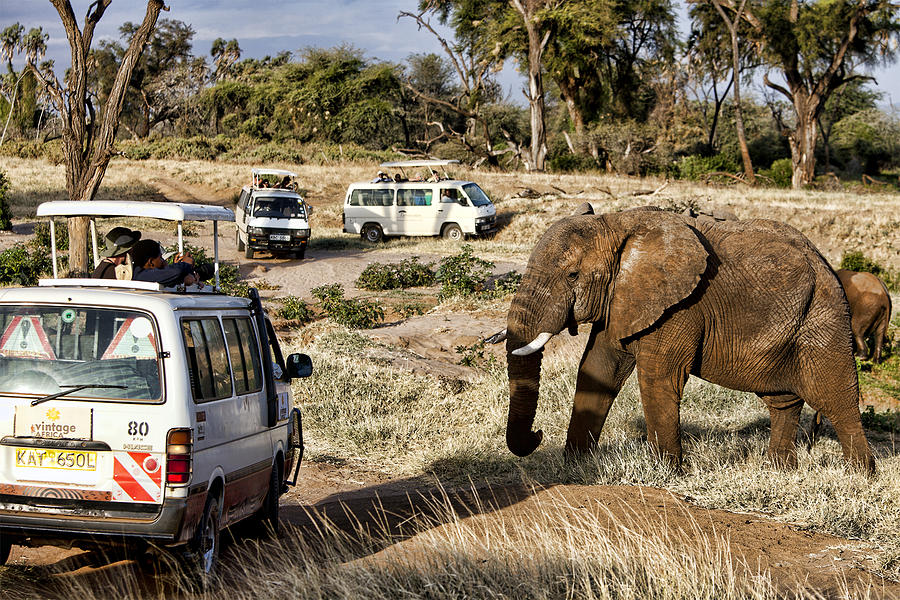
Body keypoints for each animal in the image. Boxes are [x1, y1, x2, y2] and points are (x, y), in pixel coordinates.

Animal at [496, 206, 876, 474]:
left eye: (573, 275)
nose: (537, 435)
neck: (617, 223)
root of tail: (827, 263)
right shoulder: (621, 299)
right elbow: (598, 369)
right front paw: (575, 466)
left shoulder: (680, 307)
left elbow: (657, 379)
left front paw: (667, 473)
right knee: (783, 400)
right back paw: (780, 471)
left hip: (824, 318)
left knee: (835, 398)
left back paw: (860, 476)